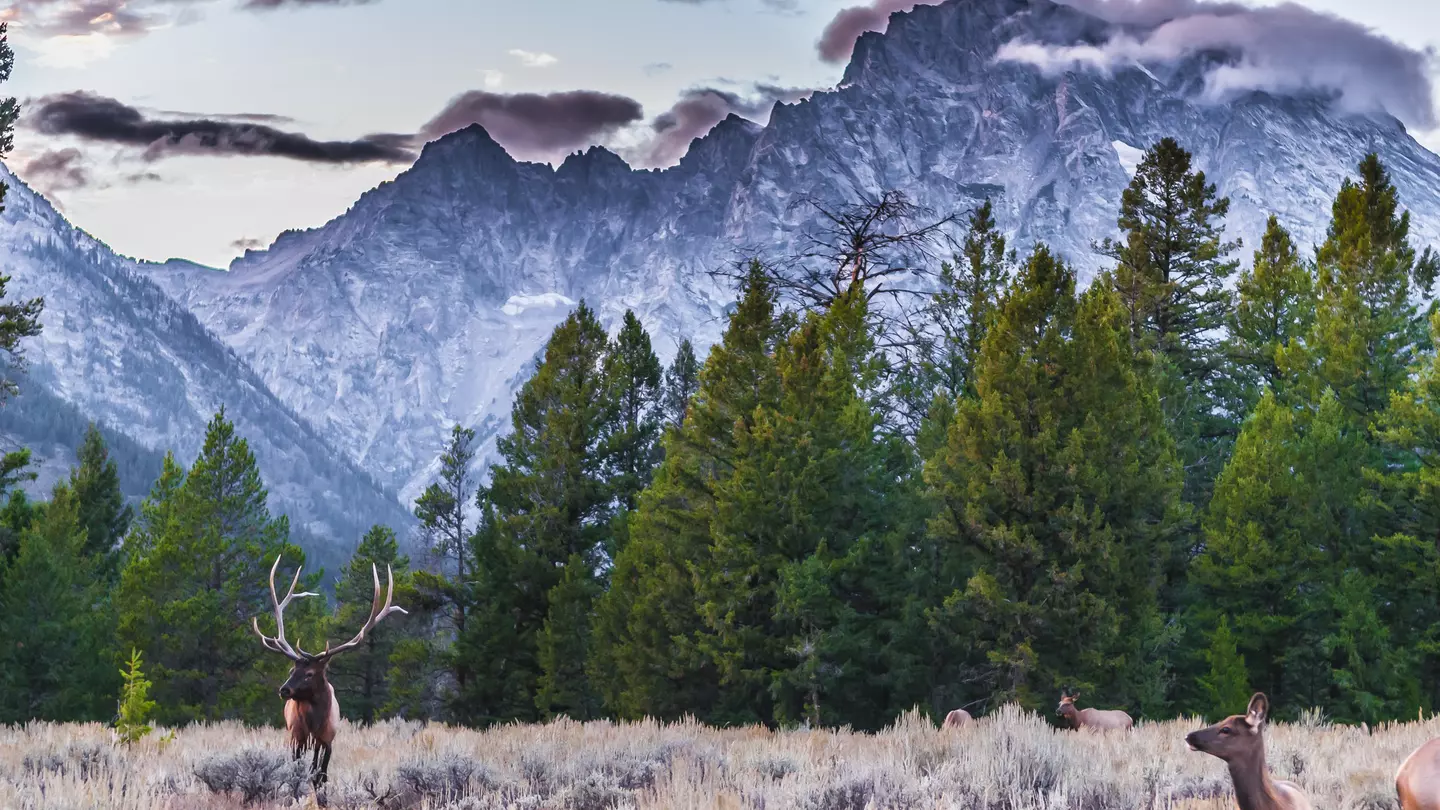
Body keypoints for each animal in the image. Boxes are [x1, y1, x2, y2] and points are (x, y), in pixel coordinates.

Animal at [252, 554, 407, 795]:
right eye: (291, 669)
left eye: (309, 673)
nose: (284, 689)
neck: (314, 723)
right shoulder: (297, 736)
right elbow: (299, 772)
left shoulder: (327, 739)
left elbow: (321, 775)